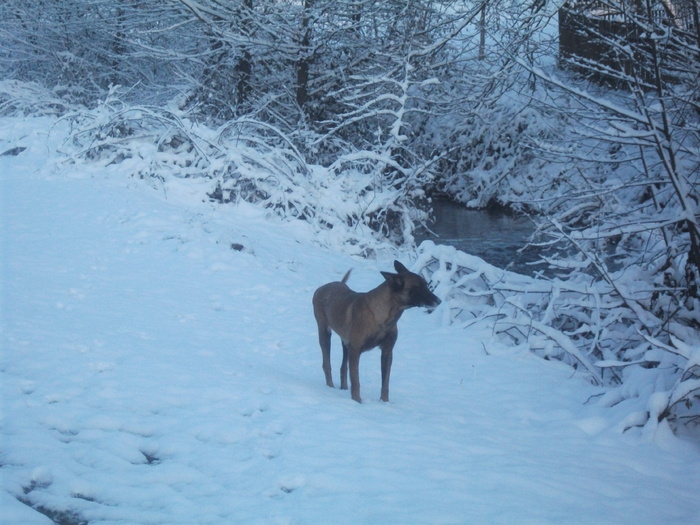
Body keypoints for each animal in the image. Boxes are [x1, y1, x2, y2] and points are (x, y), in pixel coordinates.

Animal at [314, 260, 440, 404]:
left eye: (426, 285)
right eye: (418, 287)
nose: (439, 301)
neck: (384, 318)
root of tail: (322, 287)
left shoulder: (387, 351)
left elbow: (385, 383)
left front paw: (384, 403)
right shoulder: (355, 349)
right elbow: (356, 380)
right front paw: (357, 401)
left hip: (345, 342)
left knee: (343, 367)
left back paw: (343, 388)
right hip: (324, 332)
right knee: (326, 363)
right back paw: (330, 387)